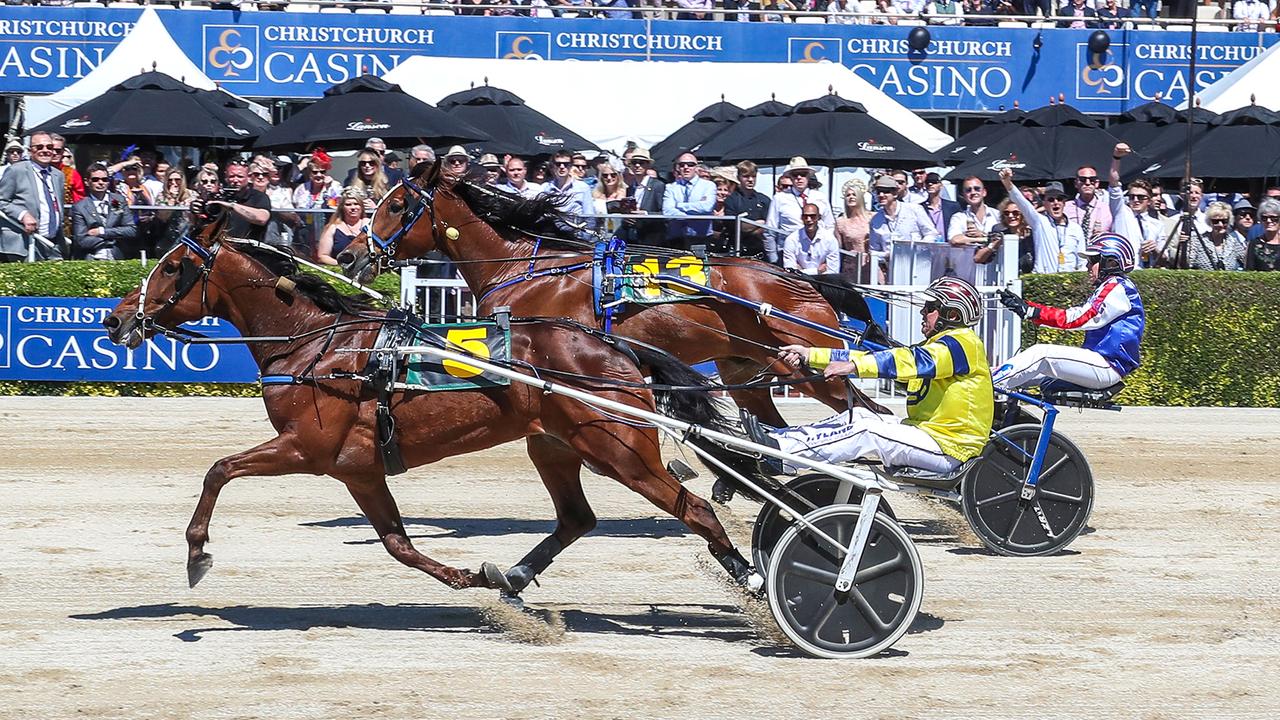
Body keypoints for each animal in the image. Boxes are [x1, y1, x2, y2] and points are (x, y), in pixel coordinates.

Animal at [104, 229, 752, 594]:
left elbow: (219, 470)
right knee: (576, 519)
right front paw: (465, 576)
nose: (114, 319)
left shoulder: (305, 447)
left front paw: (196, 553)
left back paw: (751, 582)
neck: (319, 345)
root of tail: (617, 345)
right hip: (554, 445)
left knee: (693, 509)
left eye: (170, 267)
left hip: (620, 450)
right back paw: (510, 579)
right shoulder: (357, 468)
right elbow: (398, 543)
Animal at [337, 162, 890, 425]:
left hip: (812, 362)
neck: (526, 268)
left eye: (397, 205)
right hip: (747, 370)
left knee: (866, 409)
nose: (349, 256)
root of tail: (804, 279)